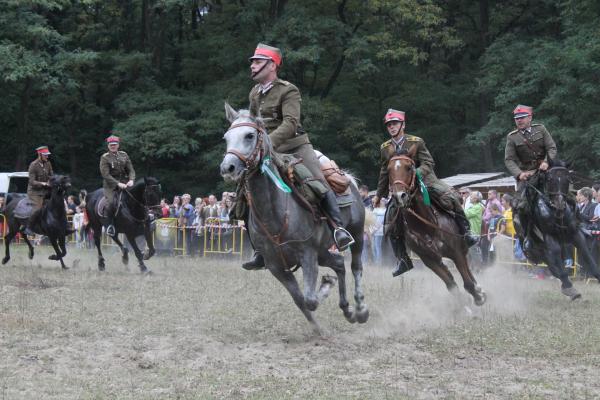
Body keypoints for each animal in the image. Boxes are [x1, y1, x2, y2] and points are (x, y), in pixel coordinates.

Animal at [220, 103, 368, 332]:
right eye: (226, 137)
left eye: (249, 135)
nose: (228, 168)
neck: (275, 212)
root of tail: (348, 180)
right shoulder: (275, 266)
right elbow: (301, 300)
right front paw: (318, 329)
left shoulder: (307, 255)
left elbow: (310, 300)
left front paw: (326, 288)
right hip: (322, 251)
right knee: (338, 263)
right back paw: (346, 309)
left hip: (357, 234)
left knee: (355, 266)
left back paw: (360, 309)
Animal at [386, 147, 486, 306]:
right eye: (388, 169)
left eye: (409, 167)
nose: (399, 196)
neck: (426, 227)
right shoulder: (429, 260)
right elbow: (451, 285)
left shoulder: (456, 252)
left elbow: (468, 283)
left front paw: (478, 297)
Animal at [516, 159, 600, 300]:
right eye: (549, 179)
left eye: (568, 179)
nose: (559, 204)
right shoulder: (549, 237)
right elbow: (556, 257)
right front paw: (569, 287)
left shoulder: (575, 234)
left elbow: (587, 255)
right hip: (539, 248)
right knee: (552, 265)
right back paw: (565, 284)